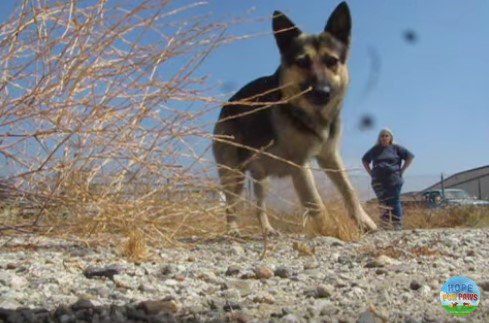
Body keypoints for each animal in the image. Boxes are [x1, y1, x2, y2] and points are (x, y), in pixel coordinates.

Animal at [212, 1, 376, 235]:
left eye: (332, 61)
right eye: (302, 63)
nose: (323, 92)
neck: (314, 117)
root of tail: (227, 105)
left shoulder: (330, 157)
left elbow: (348, 190)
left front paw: (364, 221)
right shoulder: (300, 166)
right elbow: (315, 202)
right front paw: (330, 230)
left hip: (261, 180)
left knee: (259, 206)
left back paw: (266, 229)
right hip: (232, 173)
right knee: (230, 204)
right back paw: (233, 229)